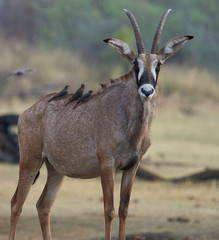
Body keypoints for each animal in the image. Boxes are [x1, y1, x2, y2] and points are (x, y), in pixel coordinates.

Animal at [9, 8, 193, 240]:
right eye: (135, 64)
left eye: (158, 65)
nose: (147, 91)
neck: (129, 123)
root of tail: (27, 112)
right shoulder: (107, 165)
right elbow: (109, 210)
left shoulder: (132, 167)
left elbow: (124, 209)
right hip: (30, 161)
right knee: (16, 204)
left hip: (55, 170)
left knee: (43, 205)